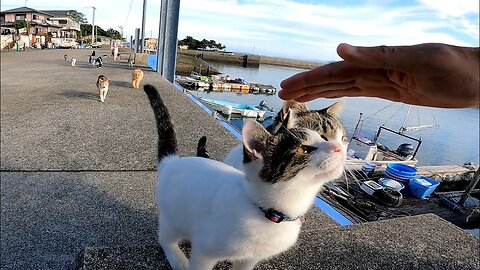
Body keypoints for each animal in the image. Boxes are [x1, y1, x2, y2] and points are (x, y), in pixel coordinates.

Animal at [144, 85, 346, 270]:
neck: (268, 211)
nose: (339, 148)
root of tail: (172, 161)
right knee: (165, 237)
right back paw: (177, 258)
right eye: (305, 149)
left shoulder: (250, 258)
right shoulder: (205, 249)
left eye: (323, 138)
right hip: (173, 217)